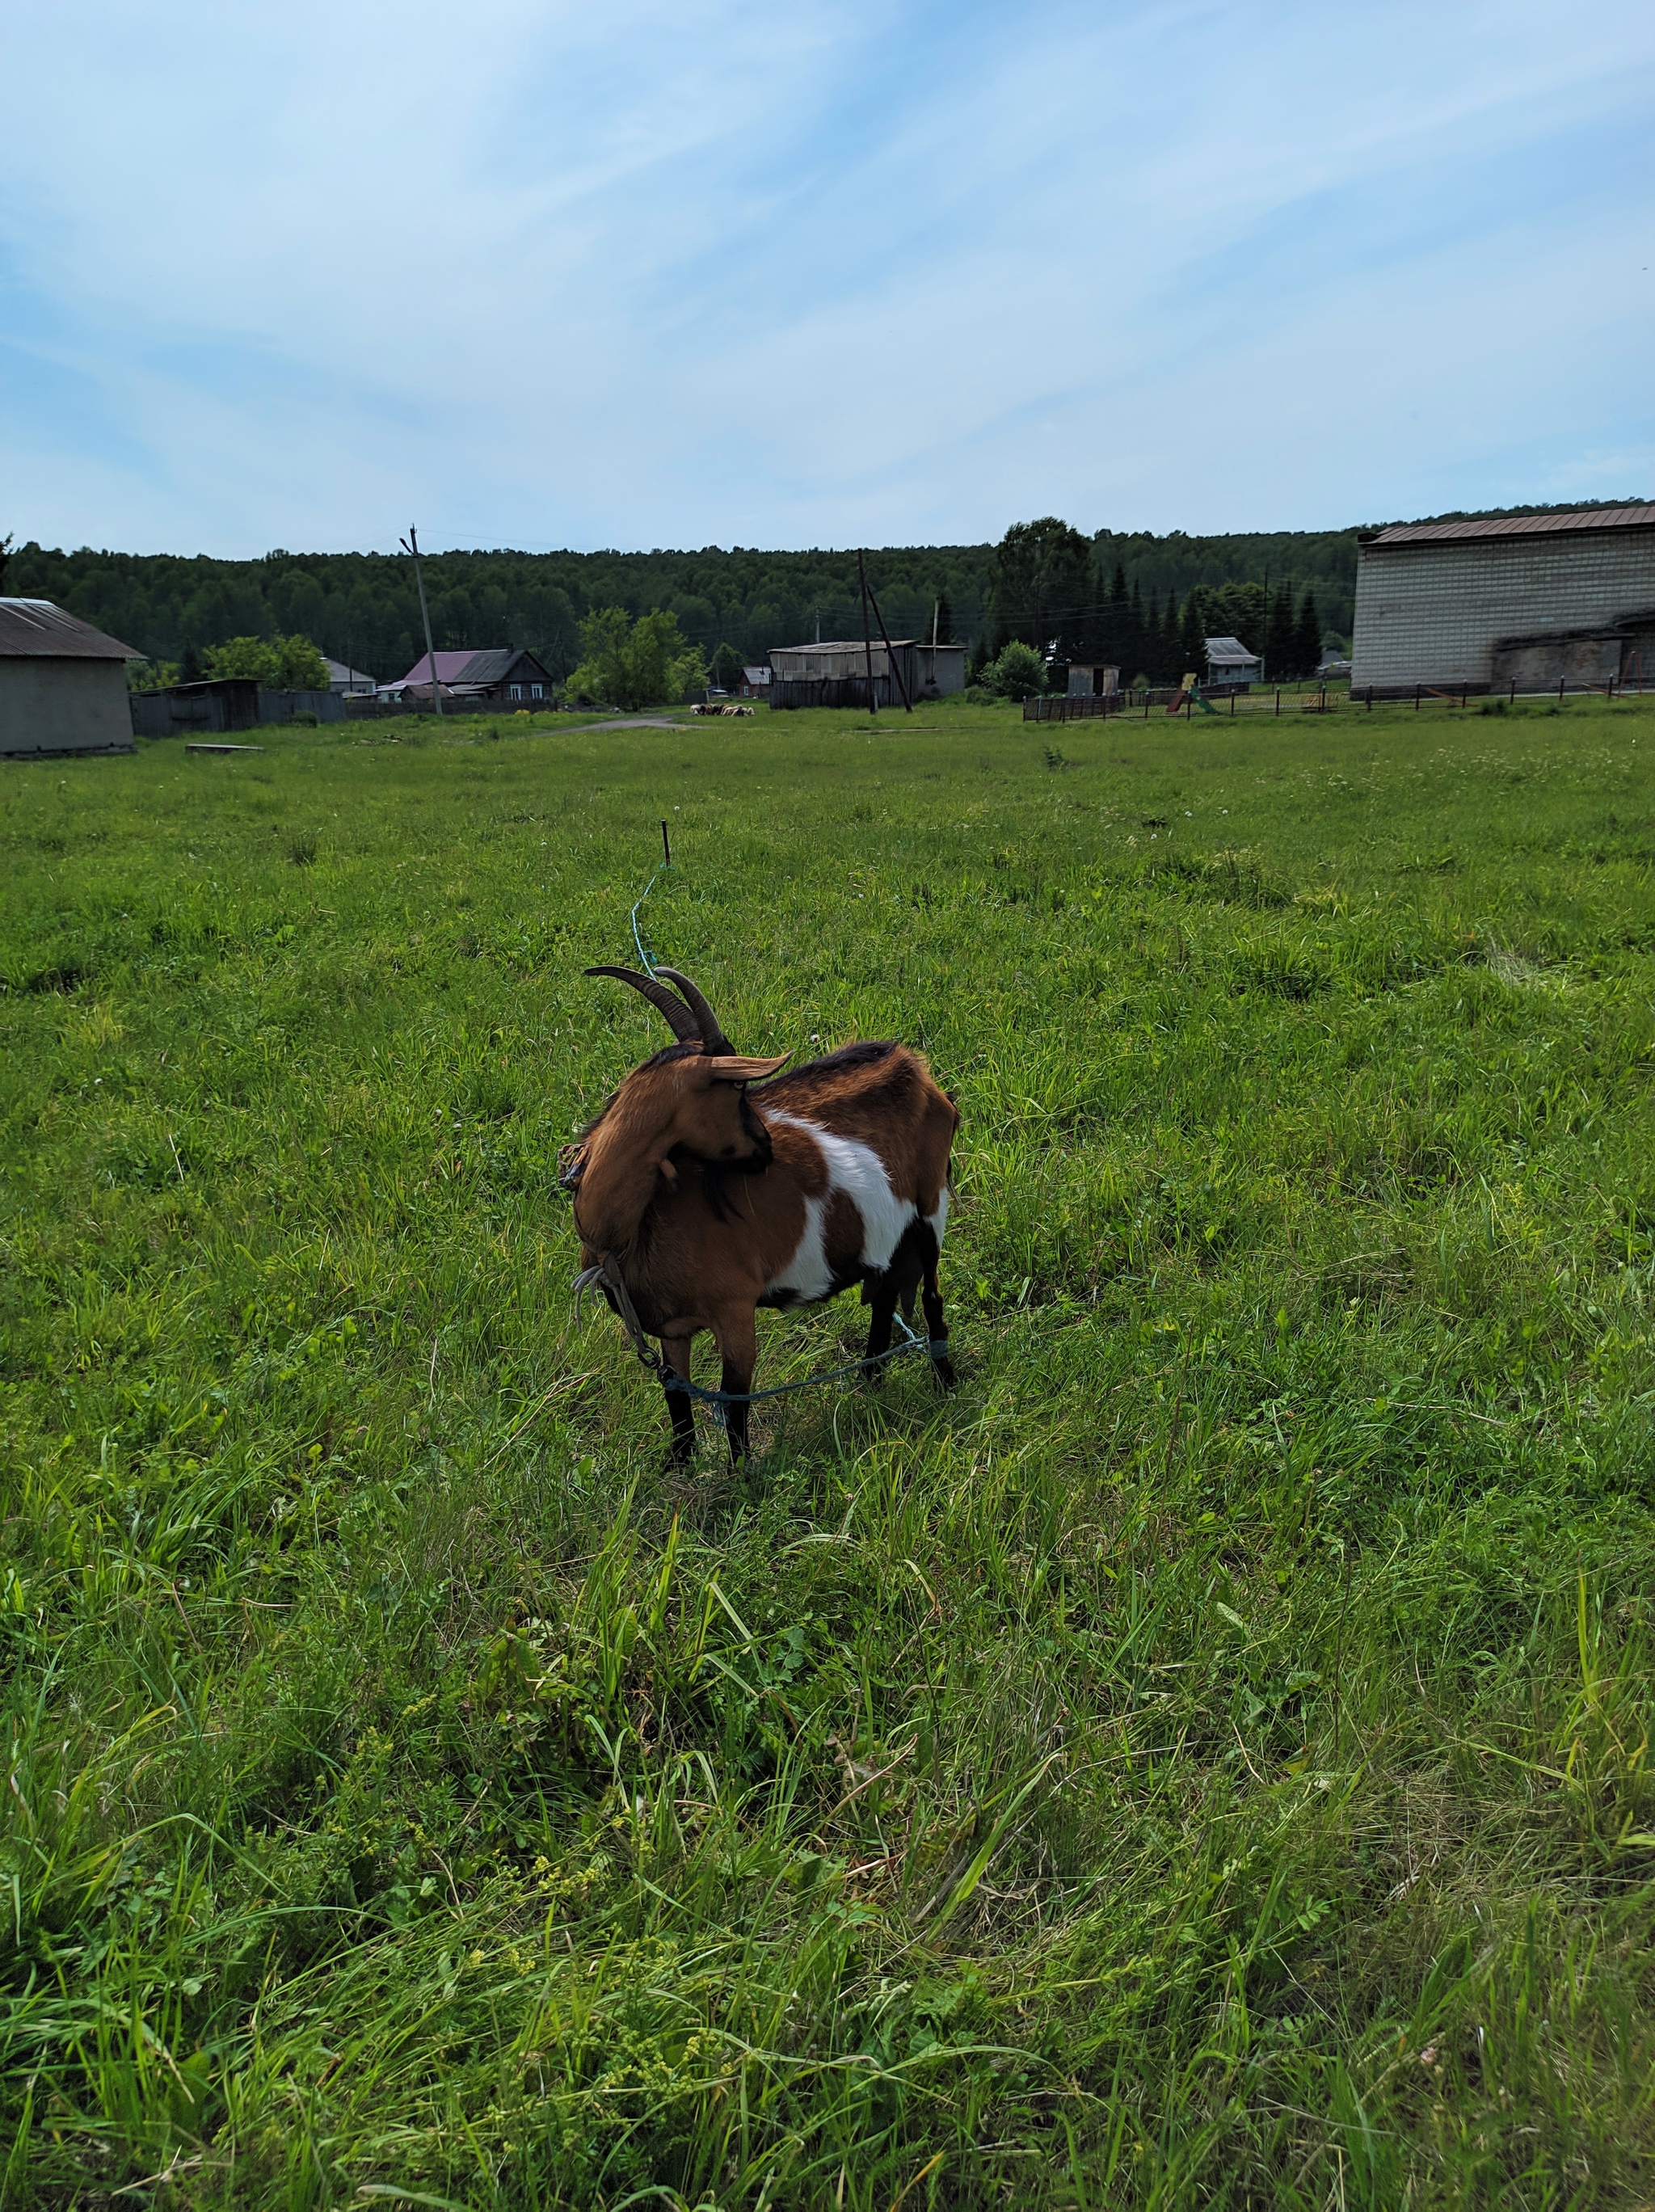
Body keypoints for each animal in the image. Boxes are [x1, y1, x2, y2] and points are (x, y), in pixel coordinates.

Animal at [571, 964, 955, 1451]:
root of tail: (916, 1069)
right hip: (885, 1232)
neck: (631, 1233)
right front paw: (679, 1462)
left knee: (931, 1296)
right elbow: (677, 1401)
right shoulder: (673, 1330)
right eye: (737, 1088)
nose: (766, 1149)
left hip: (929, 1207)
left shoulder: (735, 1312)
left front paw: (741, 1469)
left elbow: (735, 1403)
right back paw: (870, 1381)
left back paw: (946, 1384)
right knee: (885, 1294)